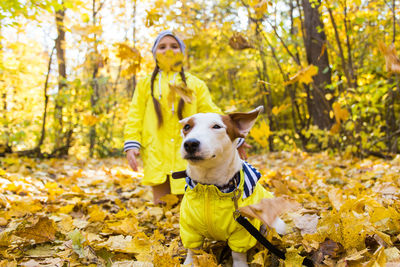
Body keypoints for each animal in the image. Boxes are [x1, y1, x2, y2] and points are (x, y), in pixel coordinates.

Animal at [177, 107, 284, 267]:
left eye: (217, 126)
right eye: (187, 127)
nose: (190, 143)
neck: (210, 186)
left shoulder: (242, 230)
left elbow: (238, 254)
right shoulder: (189, 227)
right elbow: (193, 250)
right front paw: (190, 262)